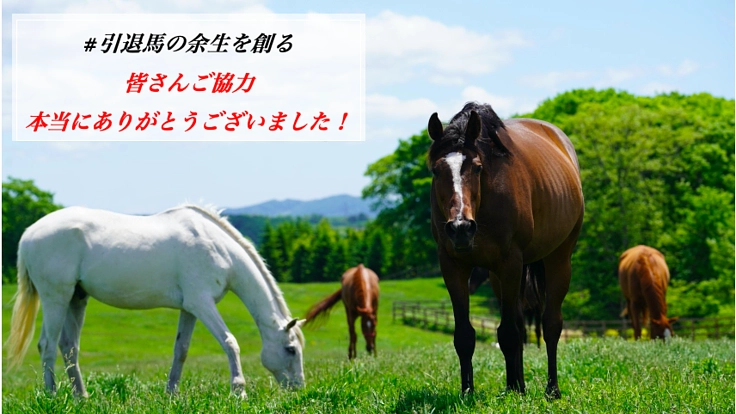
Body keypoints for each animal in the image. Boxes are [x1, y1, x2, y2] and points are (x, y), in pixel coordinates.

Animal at [5, 204, 306, 398]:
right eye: (290, 349)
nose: (298, 390)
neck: (218, 249)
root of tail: (29, 233)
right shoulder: (203, 304)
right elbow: (230, 342)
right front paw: (238, 392)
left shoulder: (190, 308)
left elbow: (181, 350)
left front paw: (171, 394)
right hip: (56, 298)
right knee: (47, 345)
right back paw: (53, 396)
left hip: (76, 299)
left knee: (69, 347)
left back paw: (82, 397)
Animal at [427, 102, 584, 398]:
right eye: (436, 170)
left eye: (477, 167)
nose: (461, 227)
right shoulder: (452, 265)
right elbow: (465, 335)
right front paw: (468, 392)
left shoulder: (510, 262)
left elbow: (510, 333)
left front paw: (516, 392)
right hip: (500, 277)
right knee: (520, 323)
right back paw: (517, 384)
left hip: (558, 260)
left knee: (550, 324)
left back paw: (551, 389)